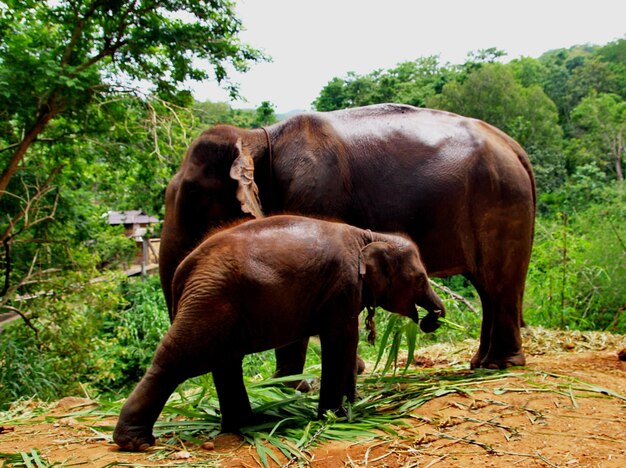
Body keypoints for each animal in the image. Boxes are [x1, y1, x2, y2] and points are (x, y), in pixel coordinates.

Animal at [112, 215, 444, 450]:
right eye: (420, 278)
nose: (433, 320)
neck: (369, 235)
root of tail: (183, 269)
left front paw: (354, 404)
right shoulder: (343, 286)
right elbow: (341, 341)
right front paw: (337, 416)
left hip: (214, 302)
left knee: (224, 363)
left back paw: (246, 424)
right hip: (210, 303)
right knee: (177, 360)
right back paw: (135, 443)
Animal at [158, 104, 532, 372]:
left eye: (191, 195)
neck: (260, 137)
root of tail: (514, 146)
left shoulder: (313, 192)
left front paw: (291, 385)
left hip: (500, 199)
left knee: (497, 282)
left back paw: (500, 364)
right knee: (487, 287)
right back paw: (481, 363)